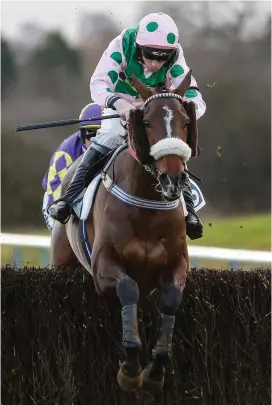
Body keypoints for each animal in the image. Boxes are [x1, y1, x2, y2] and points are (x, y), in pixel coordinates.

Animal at [50, 71, 198, 392]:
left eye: (185, 122)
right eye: (147, 122)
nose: (173, 179)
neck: (148, 208)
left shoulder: (177, 262)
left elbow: (171, 299)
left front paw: (155, 371)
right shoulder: (103, 266)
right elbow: (128, 289)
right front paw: (130, 367)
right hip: (62, 263)